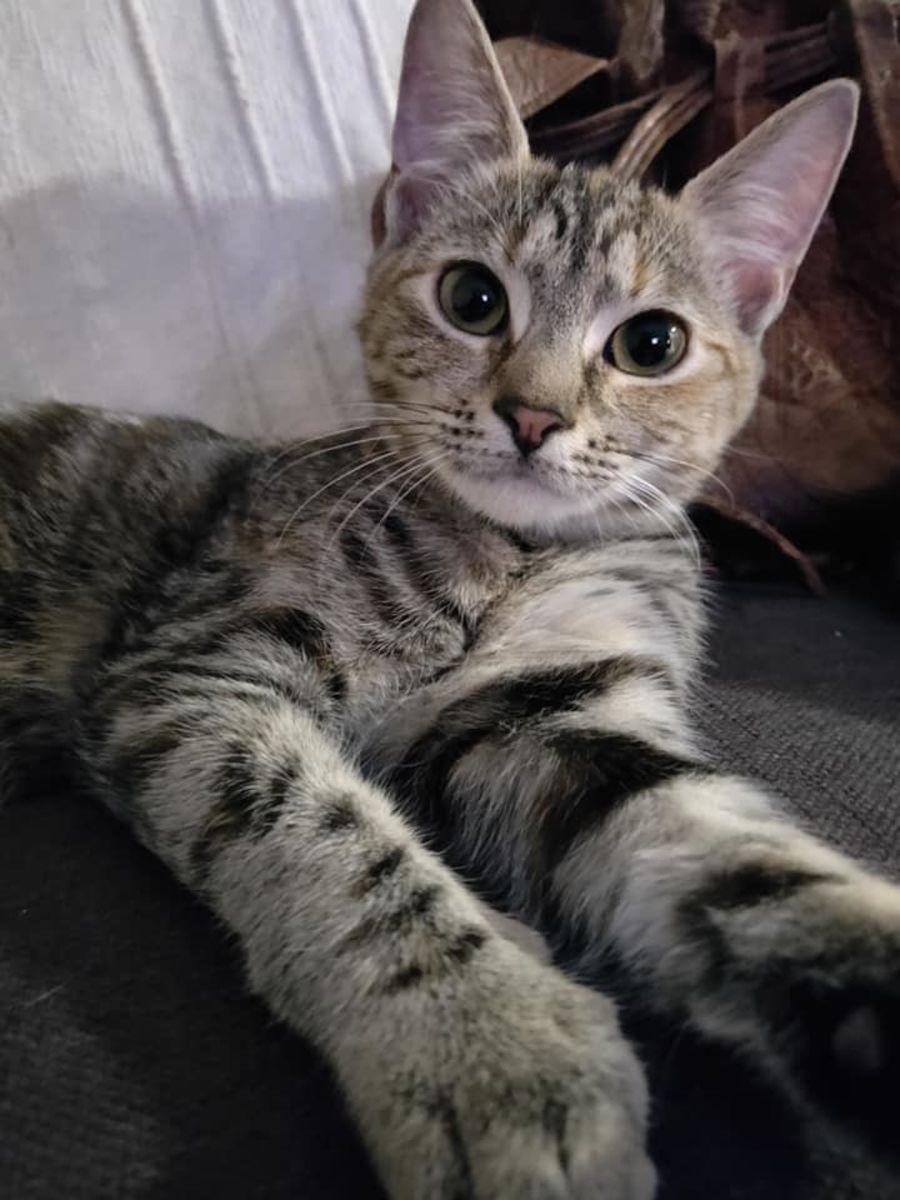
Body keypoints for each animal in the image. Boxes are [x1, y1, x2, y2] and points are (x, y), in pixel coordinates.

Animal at [0, 0, 893, 1197]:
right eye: (473, 299)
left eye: (650, 342)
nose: (533, 414)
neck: (503, 557)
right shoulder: (191, 672)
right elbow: (330, 838)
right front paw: (489, 1046)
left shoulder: (552, 704)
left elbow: (709, 841)